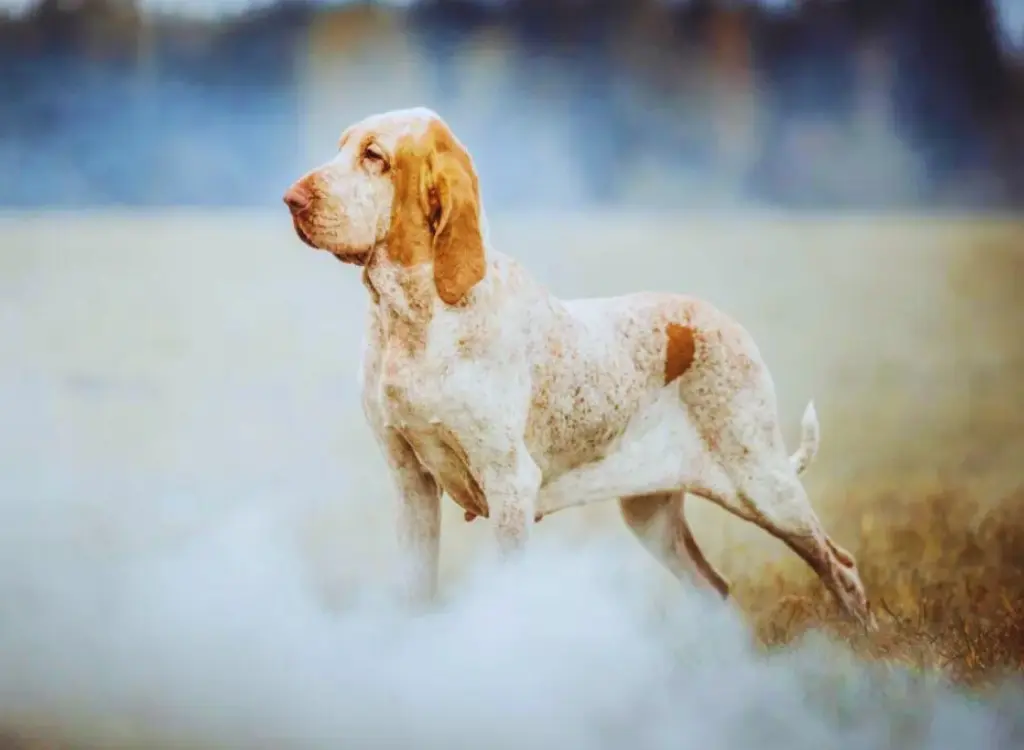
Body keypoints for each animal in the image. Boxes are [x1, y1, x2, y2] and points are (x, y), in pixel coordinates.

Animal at [284, 108, 876, 631]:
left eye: (374, 156)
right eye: (342, 147)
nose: (291, 200)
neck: (411, 321)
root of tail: (728, 324)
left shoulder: (509, 486)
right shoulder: (411, 482)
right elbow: (415, 593)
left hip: (762, 486)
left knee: (841, 566)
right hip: (650, 515)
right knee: (715, 588)